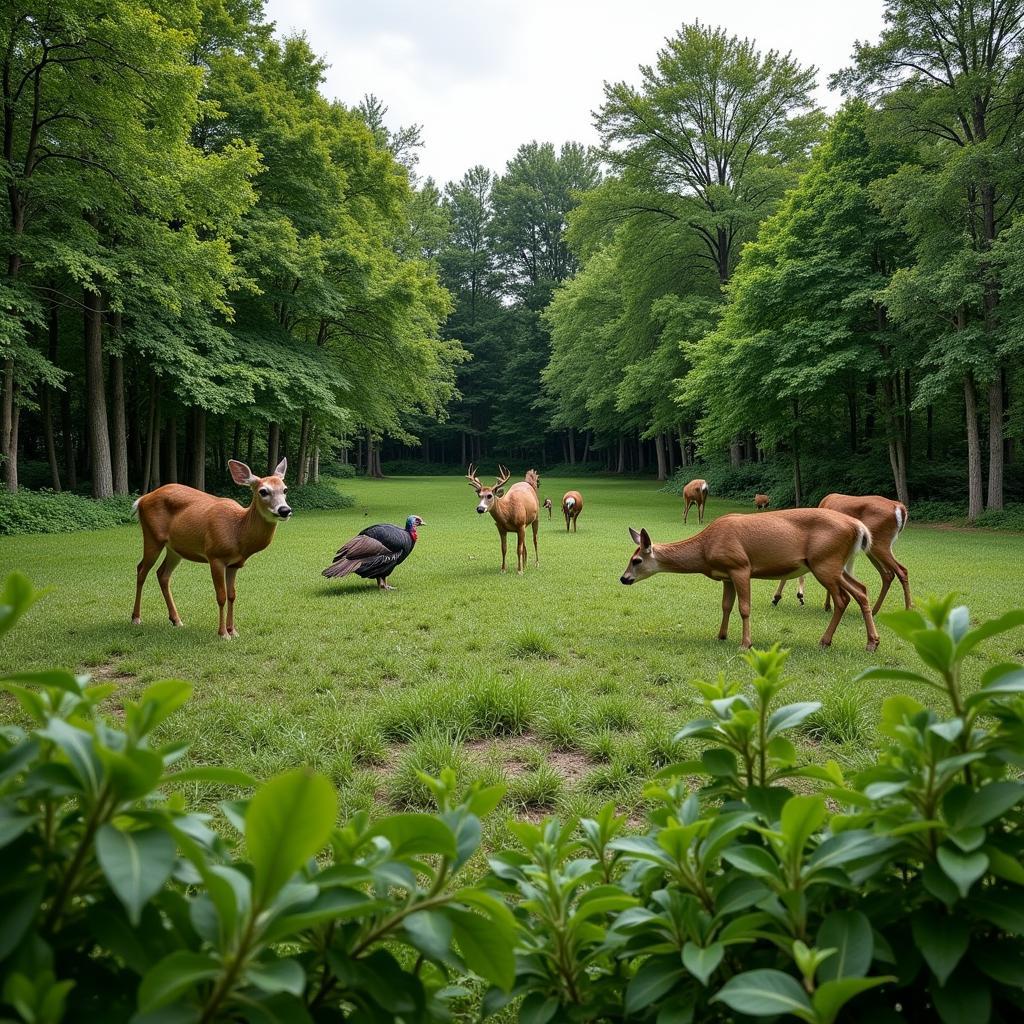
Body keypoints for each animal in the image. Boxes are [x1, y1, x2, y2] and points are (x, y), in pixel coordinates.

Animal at [133, 458, 292, 634]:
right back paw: (136, 618)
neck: (238, 531)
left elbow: (232, 595)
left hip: (175, 549)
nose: (284, 510)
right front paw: (223, 633)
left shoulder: (235, 564)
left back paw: (176, 620)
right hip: (152, 537)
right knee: (141, 570)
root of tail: (141, 500)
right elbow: (221, 596)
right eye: (263, 491)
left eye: (285, 489)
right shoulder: (215, 556)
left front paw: (232, 630)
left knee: (162, 574)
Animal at [614, 509, 880, 651]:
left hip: (825, 562)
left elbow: (744, 607)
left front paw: (745, 644)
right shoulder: (726, 577)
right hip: (834, 565)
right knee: (861, 590)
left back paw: (827, 641)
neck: (705, 549)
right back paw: (871, 642)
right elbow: (726, 606)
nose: (624, 578)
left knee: (843, 598)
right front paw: (721, 635)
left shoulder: (740, 566)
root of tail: (859, 527)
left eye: (636, 560)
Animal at [770, 491, 913, 610]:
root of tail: (900, 508)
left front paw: (782, 597)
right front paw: (827, 605)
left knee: (901, 570)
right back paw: (874, 611)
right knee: (888, 574)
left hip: (879, 543)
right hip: (874, 547)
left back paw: (907, 609)